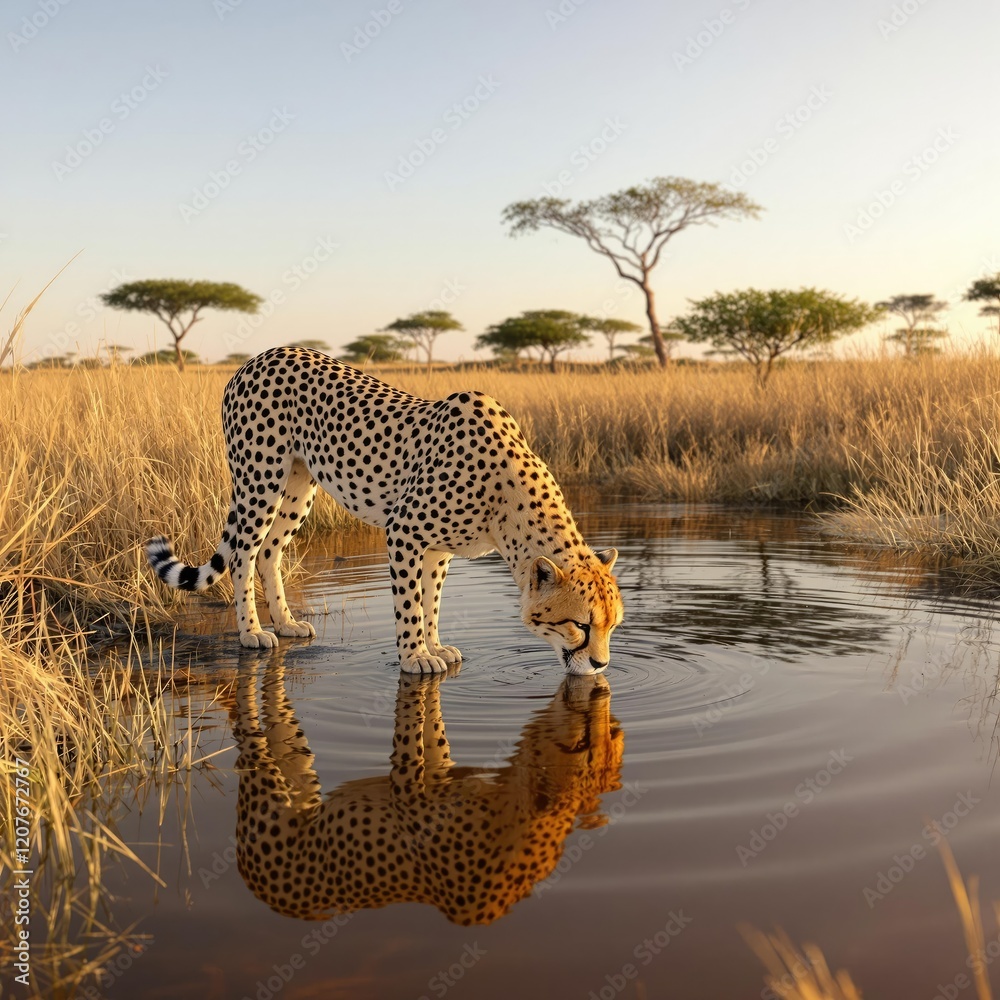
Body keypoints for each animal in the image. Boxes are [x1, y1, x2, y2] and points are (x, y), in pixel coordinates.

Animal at [145, 345, 623, 674]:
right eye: (580, 625)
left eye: (613, 626)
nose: (600, 666)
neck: (508, 501)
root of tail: (258, 357)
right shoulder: (404, 530)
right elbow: (409, 604)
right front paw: (415, 657)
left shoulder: (437, 549)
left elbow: (430, 601)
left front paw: (435, 646)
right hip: (259, 480)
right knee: (243, 553)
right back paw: (253, 632)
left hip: (299, 487)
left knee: (268, 550)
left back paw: (285, 623)